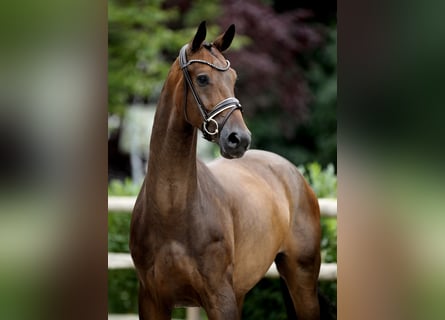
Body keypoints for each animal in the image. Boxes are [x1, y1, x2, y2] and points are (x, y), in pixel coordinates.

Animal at [130, 21, 320, 318]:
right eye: (202, 79)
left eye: (233, 78)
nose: (239, 139)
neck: (172, 210)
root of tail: (293, 174)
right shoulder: (151, 300)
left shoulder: (220, 298)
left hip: (302, 278)